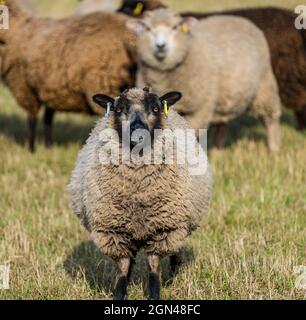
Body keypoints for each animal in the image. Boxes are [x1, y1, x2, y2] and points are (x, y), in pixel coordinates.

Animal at [0, 0, 137, 151]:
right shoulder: (50, 89)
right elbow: (48, 118)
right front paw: (48, 146)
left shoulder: (23, 86)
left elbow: (32, 119)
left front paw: (31, 149)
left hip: (102, 84)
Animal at [67, 87, 212, 300]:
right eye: (118, 109)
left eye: (155, 108)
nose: (138, 133)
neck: (138, 194)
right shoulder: (114, 231)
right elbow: (122, 267)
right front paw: (120, 294)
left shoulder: (164, 228)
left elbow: (153, 267)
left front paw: (154, 295)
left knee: (176, 251)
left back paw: (173, 272)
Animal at [127, 8, 282, 151]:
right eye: (148, 28)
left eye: (175, 27)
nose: (160, 46)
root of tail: (236, 18)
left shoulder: (200, 109)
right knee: (221, 126)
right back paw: (218, 151)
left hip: (264, 84)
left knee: (270, 117)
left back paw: (274, 149)